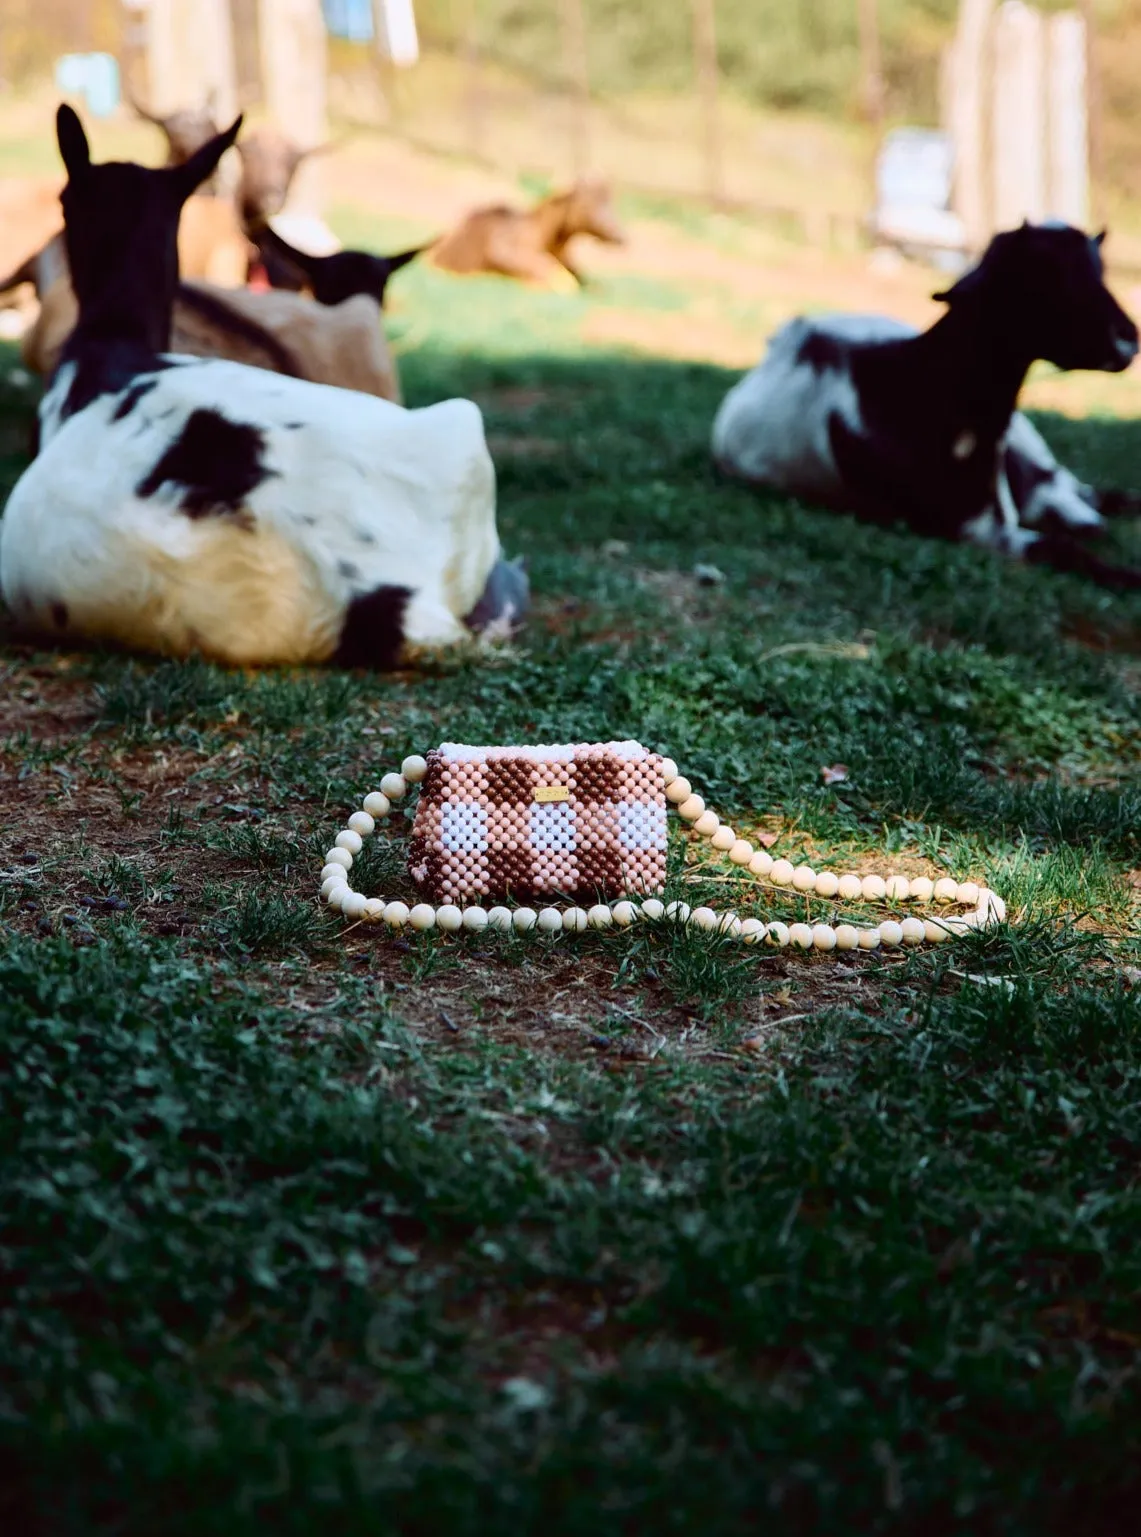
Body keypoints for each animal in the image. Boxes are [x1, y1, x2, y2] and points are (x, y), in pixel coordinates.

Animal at [713, 222, 1141, 587]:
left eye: (1100, 270)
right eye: (1045, 274)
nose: (1128, 338)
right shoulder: (973, 528)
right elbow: (1065, 549)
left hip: (1031, 440)